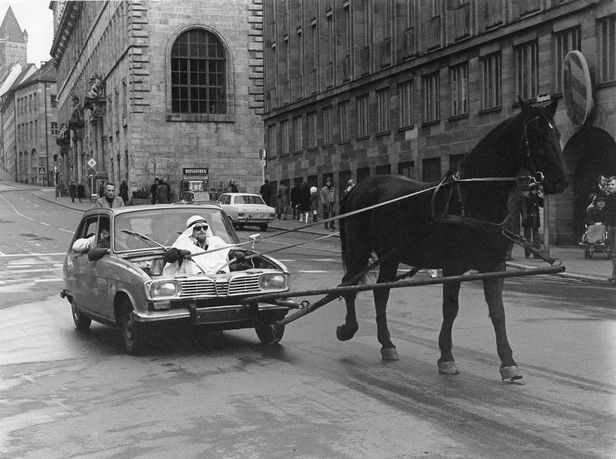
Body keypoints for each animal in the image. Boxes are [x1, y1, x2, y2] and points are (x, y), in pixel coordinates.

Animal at [336, 99, 568, 382]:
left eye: (557, 133)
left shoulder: (494, 265)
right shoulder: (453, 266)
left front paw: (508, 362)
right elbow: (451, 309)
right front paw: (446, 357)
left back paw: (387, 344)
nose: (562, 181)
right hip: (359, 250)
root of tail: (356, 189)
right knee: (349, 283)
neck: (472, 196)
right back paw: (349, 327)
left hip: (390, 257)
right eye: (537, 135)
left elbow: (498, 312)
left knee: (381, 293)